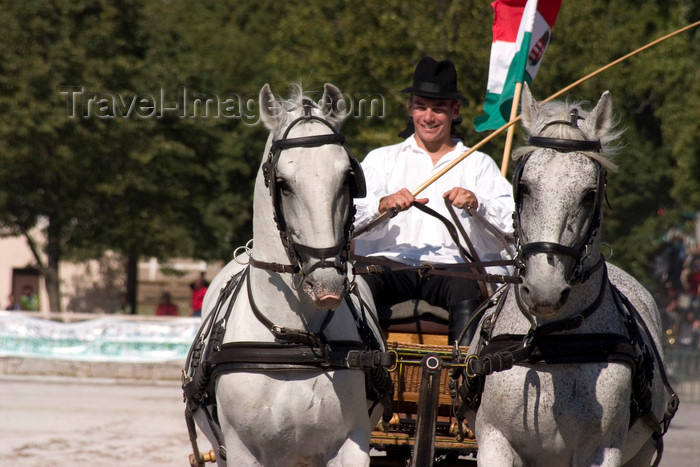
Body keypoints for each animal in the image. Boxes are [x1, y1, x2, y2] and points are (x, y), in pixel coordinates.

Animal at [183, 84, 392, 467]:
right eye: (282, 183)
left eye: (348, 177)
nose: (327, 285)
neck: (295, 340)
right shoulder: (240, 449)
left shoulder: (352, 442)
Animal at [460, 84, 680, 467]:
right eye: (525, 187)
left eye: (589, 194)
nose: (544, 290)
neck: (548, 344)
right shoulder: (494, 441)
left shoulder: (602, 451)